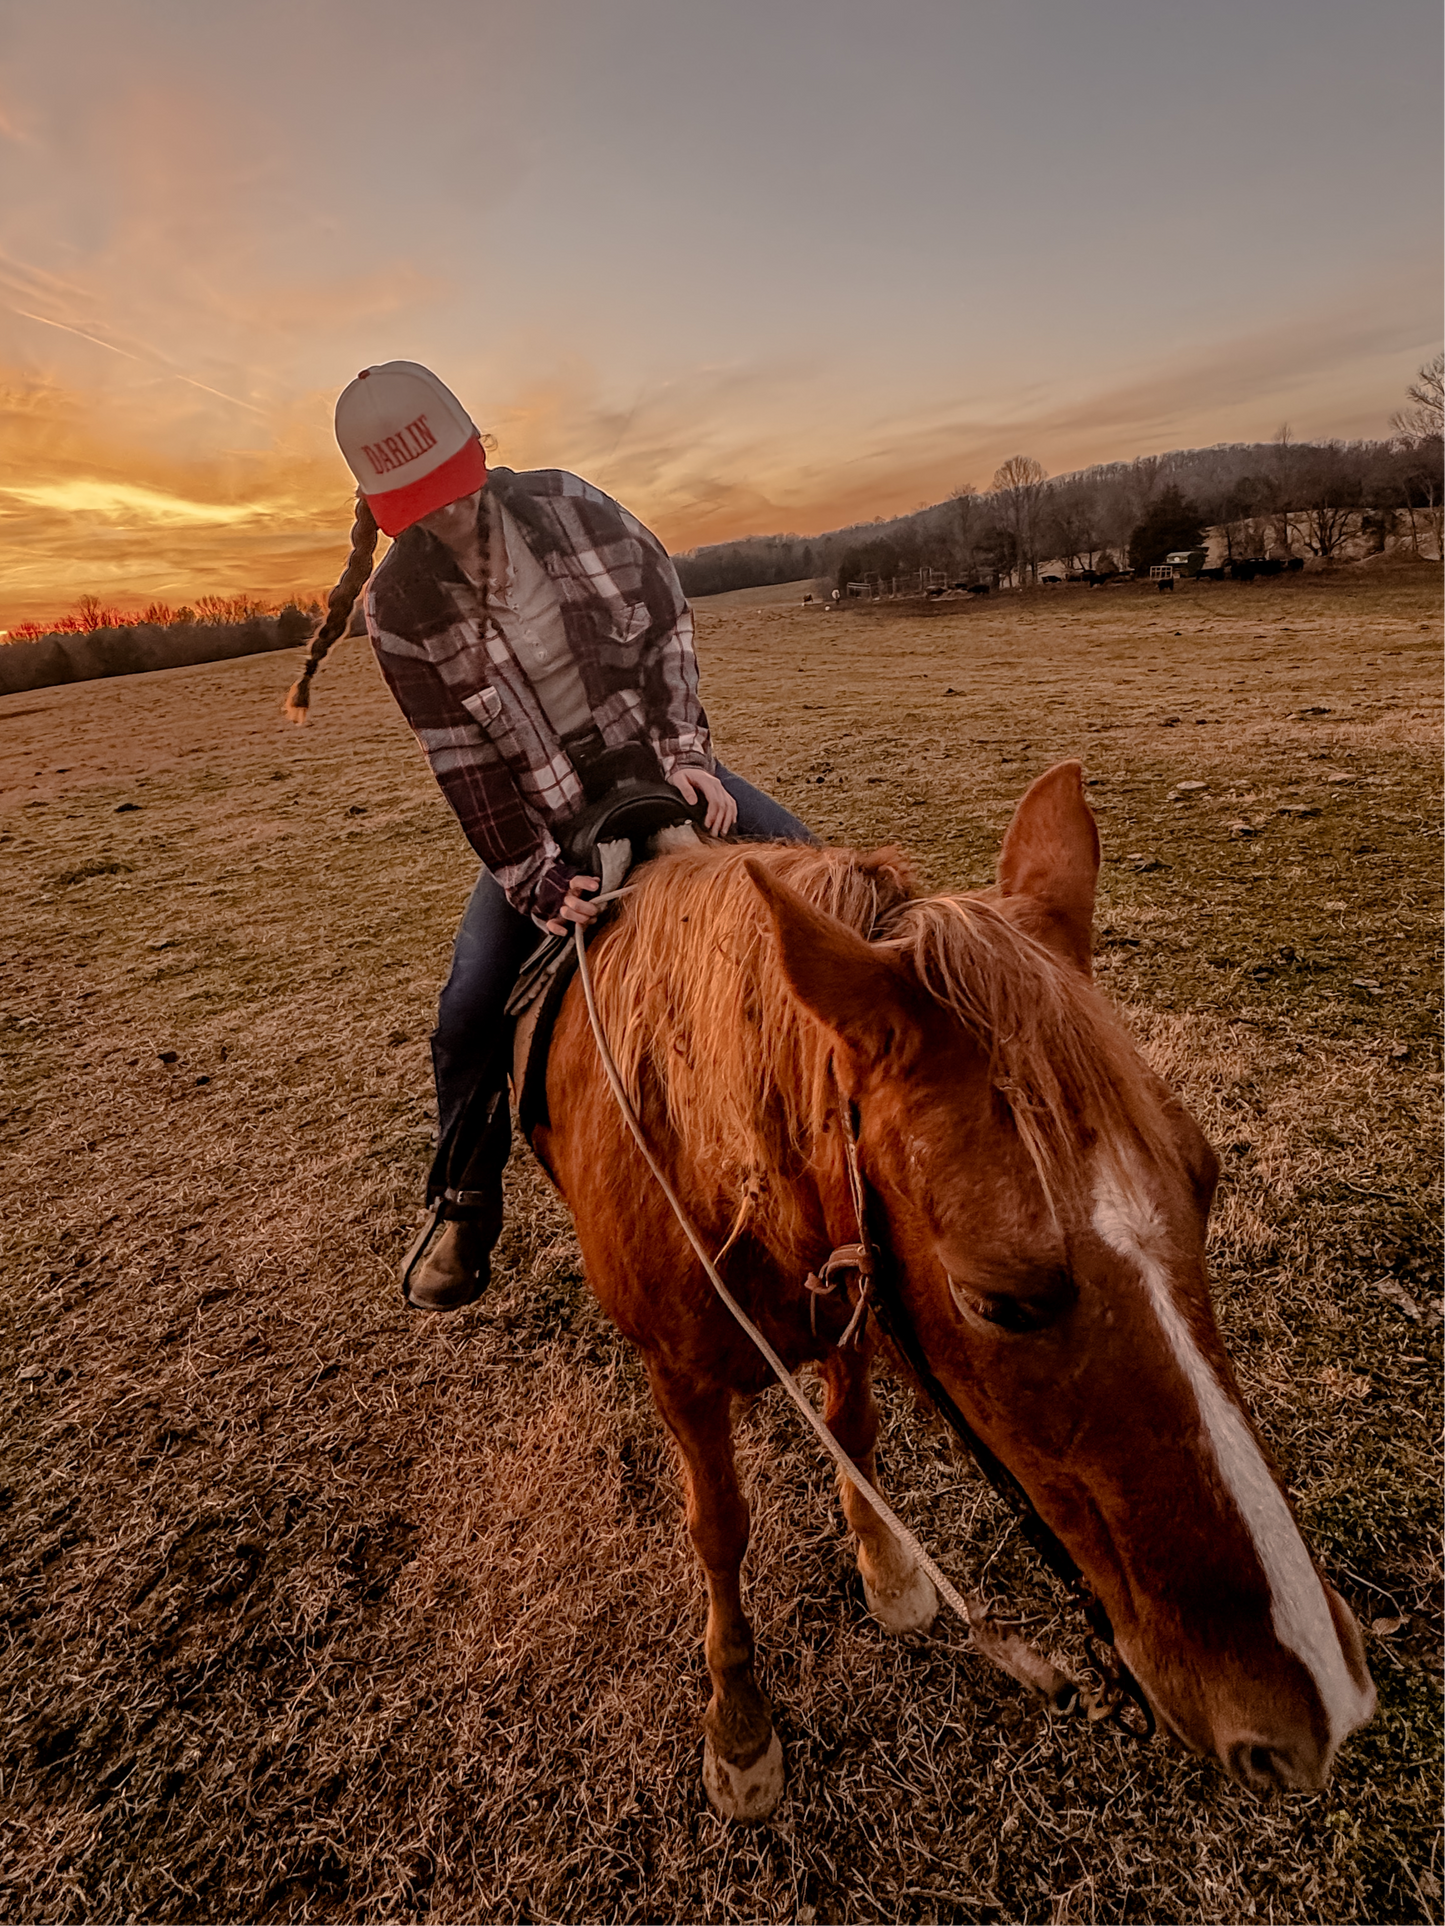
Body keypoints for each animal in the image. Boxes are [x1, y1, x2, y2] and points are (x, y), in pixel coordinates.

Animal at [531, 762, 1379, 1818]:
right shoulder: (680, 1378)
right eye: (996, 1301)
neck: (704, 1153)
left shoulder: (852, 1305)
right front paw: (736, 1721)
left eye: (1209, 1182)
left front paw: (888, 1570)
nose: (1318, 1701)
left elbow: (854, 1434)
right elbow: (718, 1530)